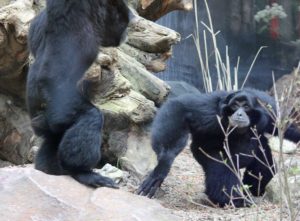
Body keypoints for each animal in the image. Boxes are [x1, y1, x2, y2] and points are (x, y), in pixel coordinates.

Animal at [27, 0, 129, 188]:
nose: (126, 32)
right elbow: (52, 73)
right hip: (52, 112)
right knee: (90, 116)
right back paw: (81, 172)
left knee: (53, 139)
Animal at [138, 88, 300, 207]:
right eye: (235, 106)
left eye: (246, 107)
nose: (239, 113)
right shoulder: (211, 110)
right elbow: (180, 107)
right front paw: (163, 165)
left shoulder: (270, 112)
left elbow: (289, 129)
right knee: (223, 168)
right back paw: (234, 200)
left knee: (263, 164)